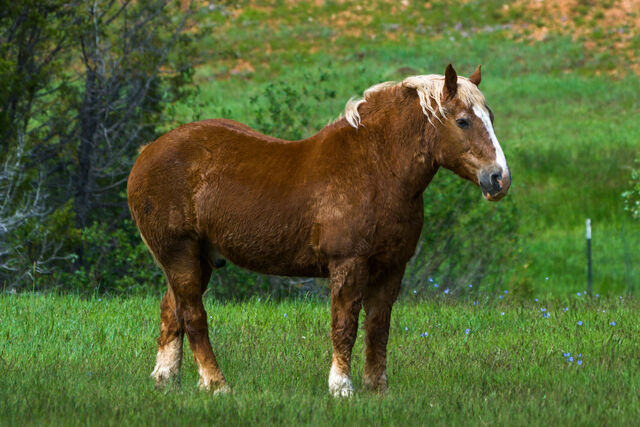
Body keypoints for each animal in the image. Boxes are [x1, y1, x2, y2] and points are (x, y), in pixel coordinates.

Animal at [127, 64, 511, 397]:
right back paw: (216, 384)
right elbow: (345, 327)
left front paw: (377, 389)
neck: (376, 168)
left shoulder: (392, 268)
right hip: (180, 254)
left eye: (491, 117)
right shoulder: (348, 263)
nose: (499, 179)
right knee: (193, 316)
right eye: (462, 121)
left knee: (171, 312)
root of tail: (146, 153)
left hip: (198, 258)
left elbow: (378, 328)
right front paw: (341, 387)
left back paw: (166, 379)